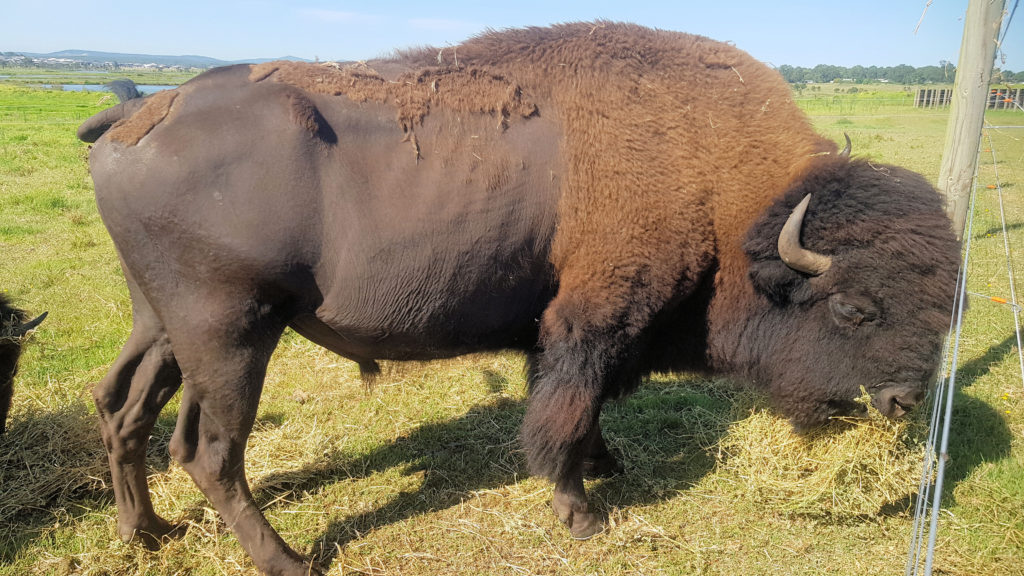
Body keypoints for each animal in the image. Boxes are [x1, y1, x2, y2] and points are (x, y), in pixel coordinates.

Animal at [77, 21, 958, 573]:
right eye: (853, 308)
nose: (903, 400)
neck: (716, 178)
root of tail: (134, 111)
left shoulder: (572, 328)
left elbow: (582, 403)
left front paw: (607, 464)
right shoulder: (594, 317)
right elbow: (564, 409)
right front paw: (582, 513)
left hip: (162, 327)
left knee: (122, 408)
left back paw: (146, 533)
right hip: (231, 335)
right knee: (208, 450)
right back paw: (288, 561)